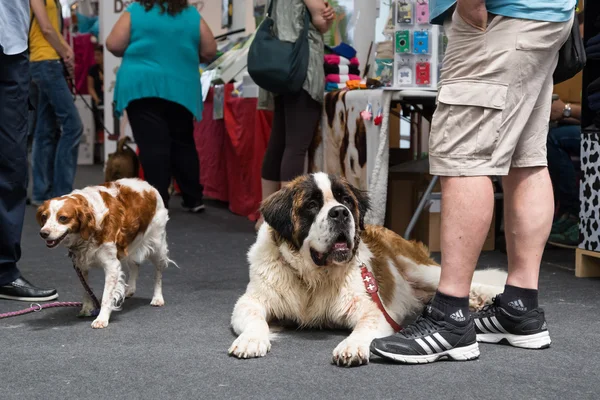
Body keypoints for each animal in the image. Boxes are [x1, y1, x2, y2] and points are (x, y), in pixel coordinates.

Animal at [230, 172, 506, 366]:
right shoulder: (251, 300)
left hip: (418, 268)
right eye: (311, 204)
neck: (313, 278)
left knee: (464, 281)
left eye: (345, 200)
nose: (340, 213)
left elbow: (364, 326)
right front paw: (251, 339)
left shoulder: (372, 309)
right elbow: (254, 316)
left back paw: (486, 297)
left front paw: (351, 347)